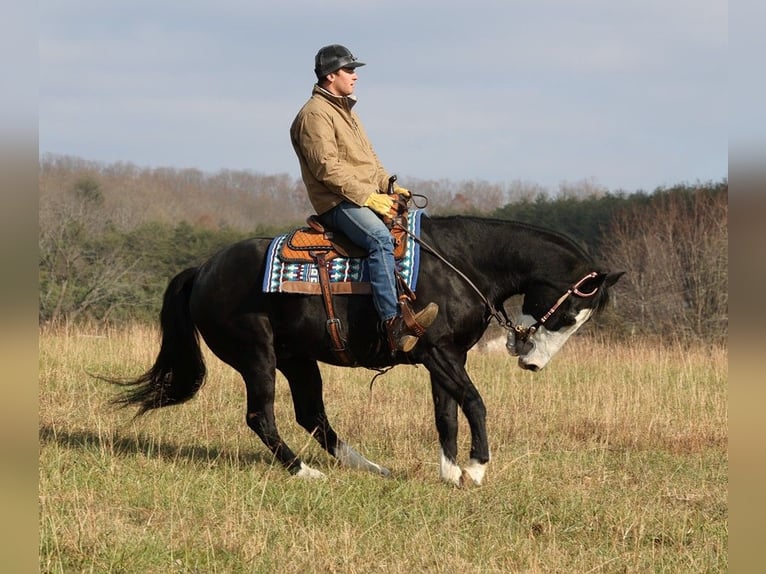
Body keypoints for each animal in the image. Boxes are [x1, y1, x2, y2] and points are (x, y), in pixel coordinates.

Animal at [114, 216, 624, 486]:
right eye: (569, 313)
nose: (533, 362)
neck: (461, 264)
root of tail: (203, 269)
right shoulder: (437, 352)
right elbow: (475, 404)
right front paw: (477, 469)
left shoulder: (447, 357)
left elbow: (447, 414)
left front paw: (449, 474)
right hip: (258, 357)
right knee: (263, 417)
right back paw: (305, 473)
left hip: (298, 359)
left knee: (313, 417)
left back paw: (371, 467)